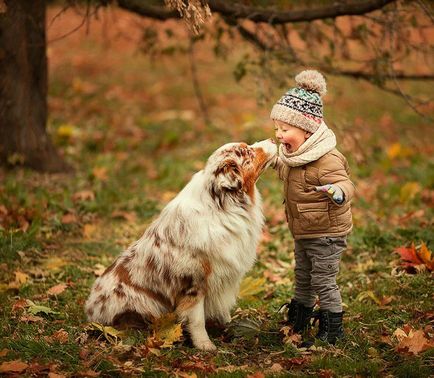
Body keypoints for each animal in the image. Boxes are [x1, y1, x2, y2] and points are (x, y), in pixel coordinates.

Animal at [84, 140, 274, 352]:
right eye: (248, 152)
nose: (273, 140)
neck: (223, 207)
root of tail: (90, 311)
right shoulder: (194, 284)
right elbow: (197, 320)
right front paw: (204, 345)